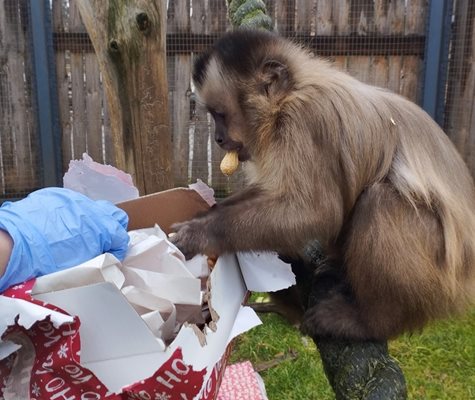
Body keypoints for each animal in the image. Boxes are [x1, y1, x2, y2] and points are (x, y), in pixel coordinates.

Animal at [173, 29, 475, 340]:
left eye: (220, 114)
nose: (219, 138)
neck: (290, 95)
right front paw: (204, 213)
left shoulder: (304, 120)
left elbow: (316, 212)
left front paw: (204, 233)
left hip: (439, 278)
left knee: (380, 202)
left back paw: (371, 322)